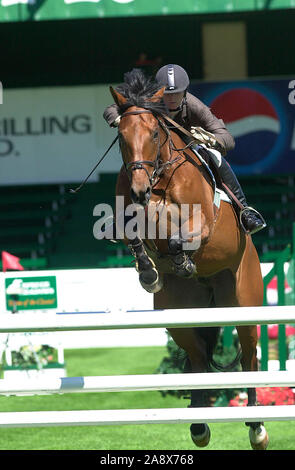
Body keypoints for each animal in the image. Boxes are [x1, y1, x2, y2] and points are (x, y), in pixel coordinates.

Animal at [110, 69, 270, 448]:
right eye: (122, 137)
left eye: (155, 133)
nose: (139, 190)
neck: (158, 178)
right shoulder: (129, 215)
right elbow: (134, 234)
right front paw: (149, 272)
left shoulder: (204, 224)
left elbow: (183, 236)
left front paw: (181, 259)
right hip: (179, 315)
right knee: (197, 355)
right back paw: (198, 424)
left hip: (243, 301)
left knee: (249, 354)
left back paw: (256, 426)